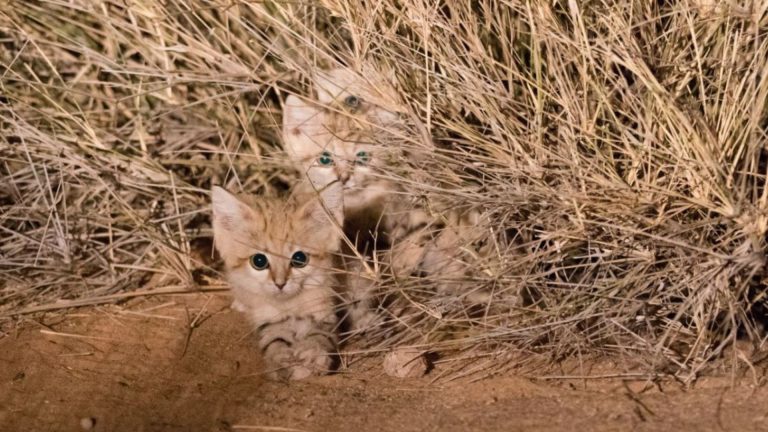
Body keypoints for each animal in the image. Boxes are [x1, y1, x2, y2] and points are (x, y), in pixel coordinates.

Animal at [210, 182, 342, 382]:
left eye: (299, 259)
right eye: (259, 261)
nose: (280, 284)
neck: (289, 304)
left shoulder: (324, 310)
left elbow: (320, 333)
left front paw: (313, 353)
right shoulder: (266, 319)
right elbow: (273, 339)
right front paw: (280, 360)